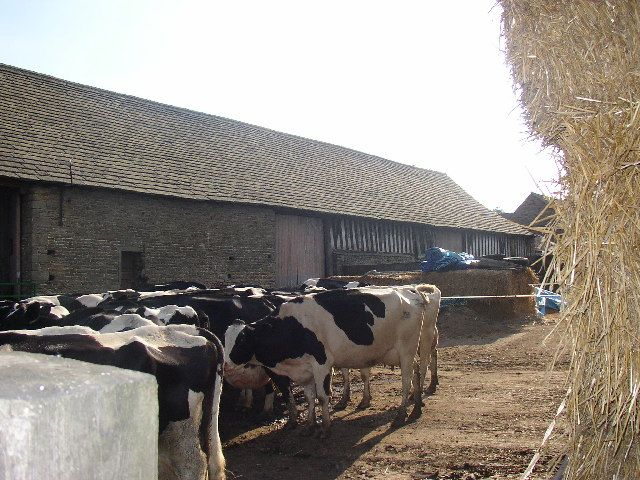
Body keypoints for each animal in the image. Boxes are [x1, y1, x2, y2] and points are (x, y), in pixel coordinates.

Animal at [224, 284, 440, 436]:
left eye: (241, 341)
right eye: (224, 340)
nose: (224, 366)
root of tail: (411, 291)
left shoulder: (321, 364)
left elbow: (321, 397)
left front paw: (325, 428)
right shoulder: (305, 369)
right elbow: (309, 397)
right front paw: (310, 425)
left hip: (407, 349)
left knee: (408, 380)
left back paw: (402, 414)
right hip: (405, 352)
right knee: (416, 373)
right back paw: (416, 408)